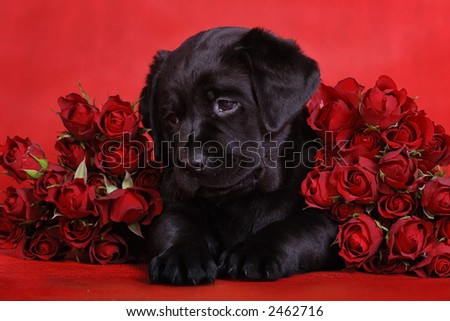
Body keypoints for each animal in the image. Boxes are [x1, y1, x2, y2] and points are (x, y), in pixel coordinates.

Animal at [139, 26, 342, 284]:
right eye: (172, 118)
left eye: (226, 104)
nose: (192, 163)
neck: (240, 200)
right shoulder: (173, 202)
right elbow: (176, 224)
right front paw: (181, 255)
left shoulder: (324, 219)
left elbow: (296, 229)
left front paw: (254, 251)